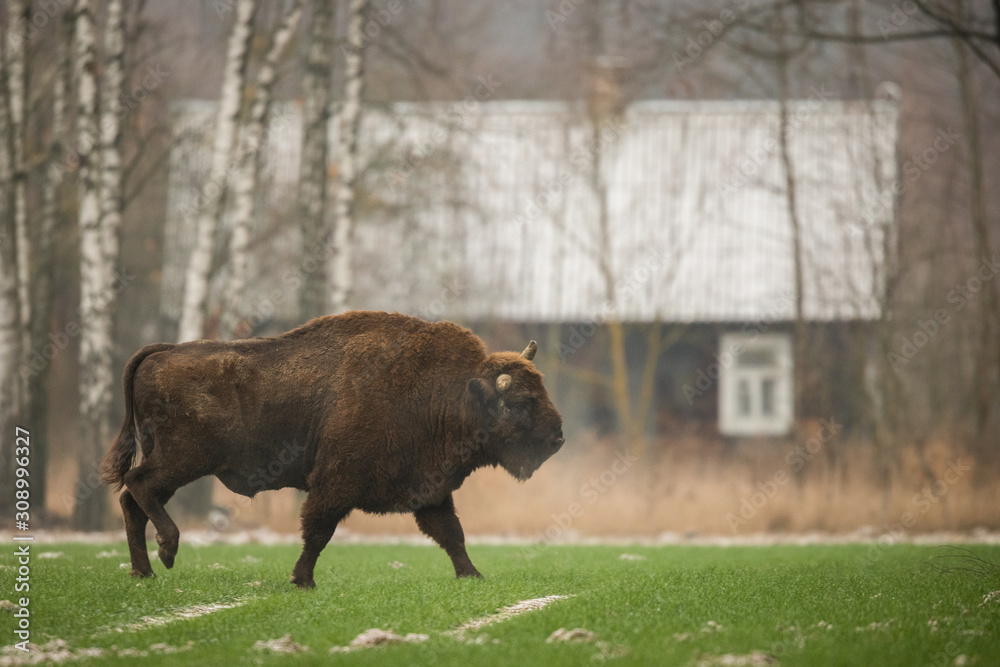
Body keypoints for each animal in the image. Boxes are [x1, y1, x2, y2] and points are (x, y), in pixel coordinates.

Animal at [101, 311, 564, 588]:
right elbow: (318, 531)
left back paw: (144, 572)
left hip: (175, 463)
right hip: (183, 459)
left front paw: (473, 575)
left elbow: (452, 534)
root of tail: (162, 352)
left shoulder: (430, 490)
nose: (558, 437)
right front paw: (302, 580)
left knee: (132, 500)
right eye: (521, 402)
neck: (450, 391)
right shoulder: (335, 483)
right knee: (137, 485)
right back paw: (167, 551)